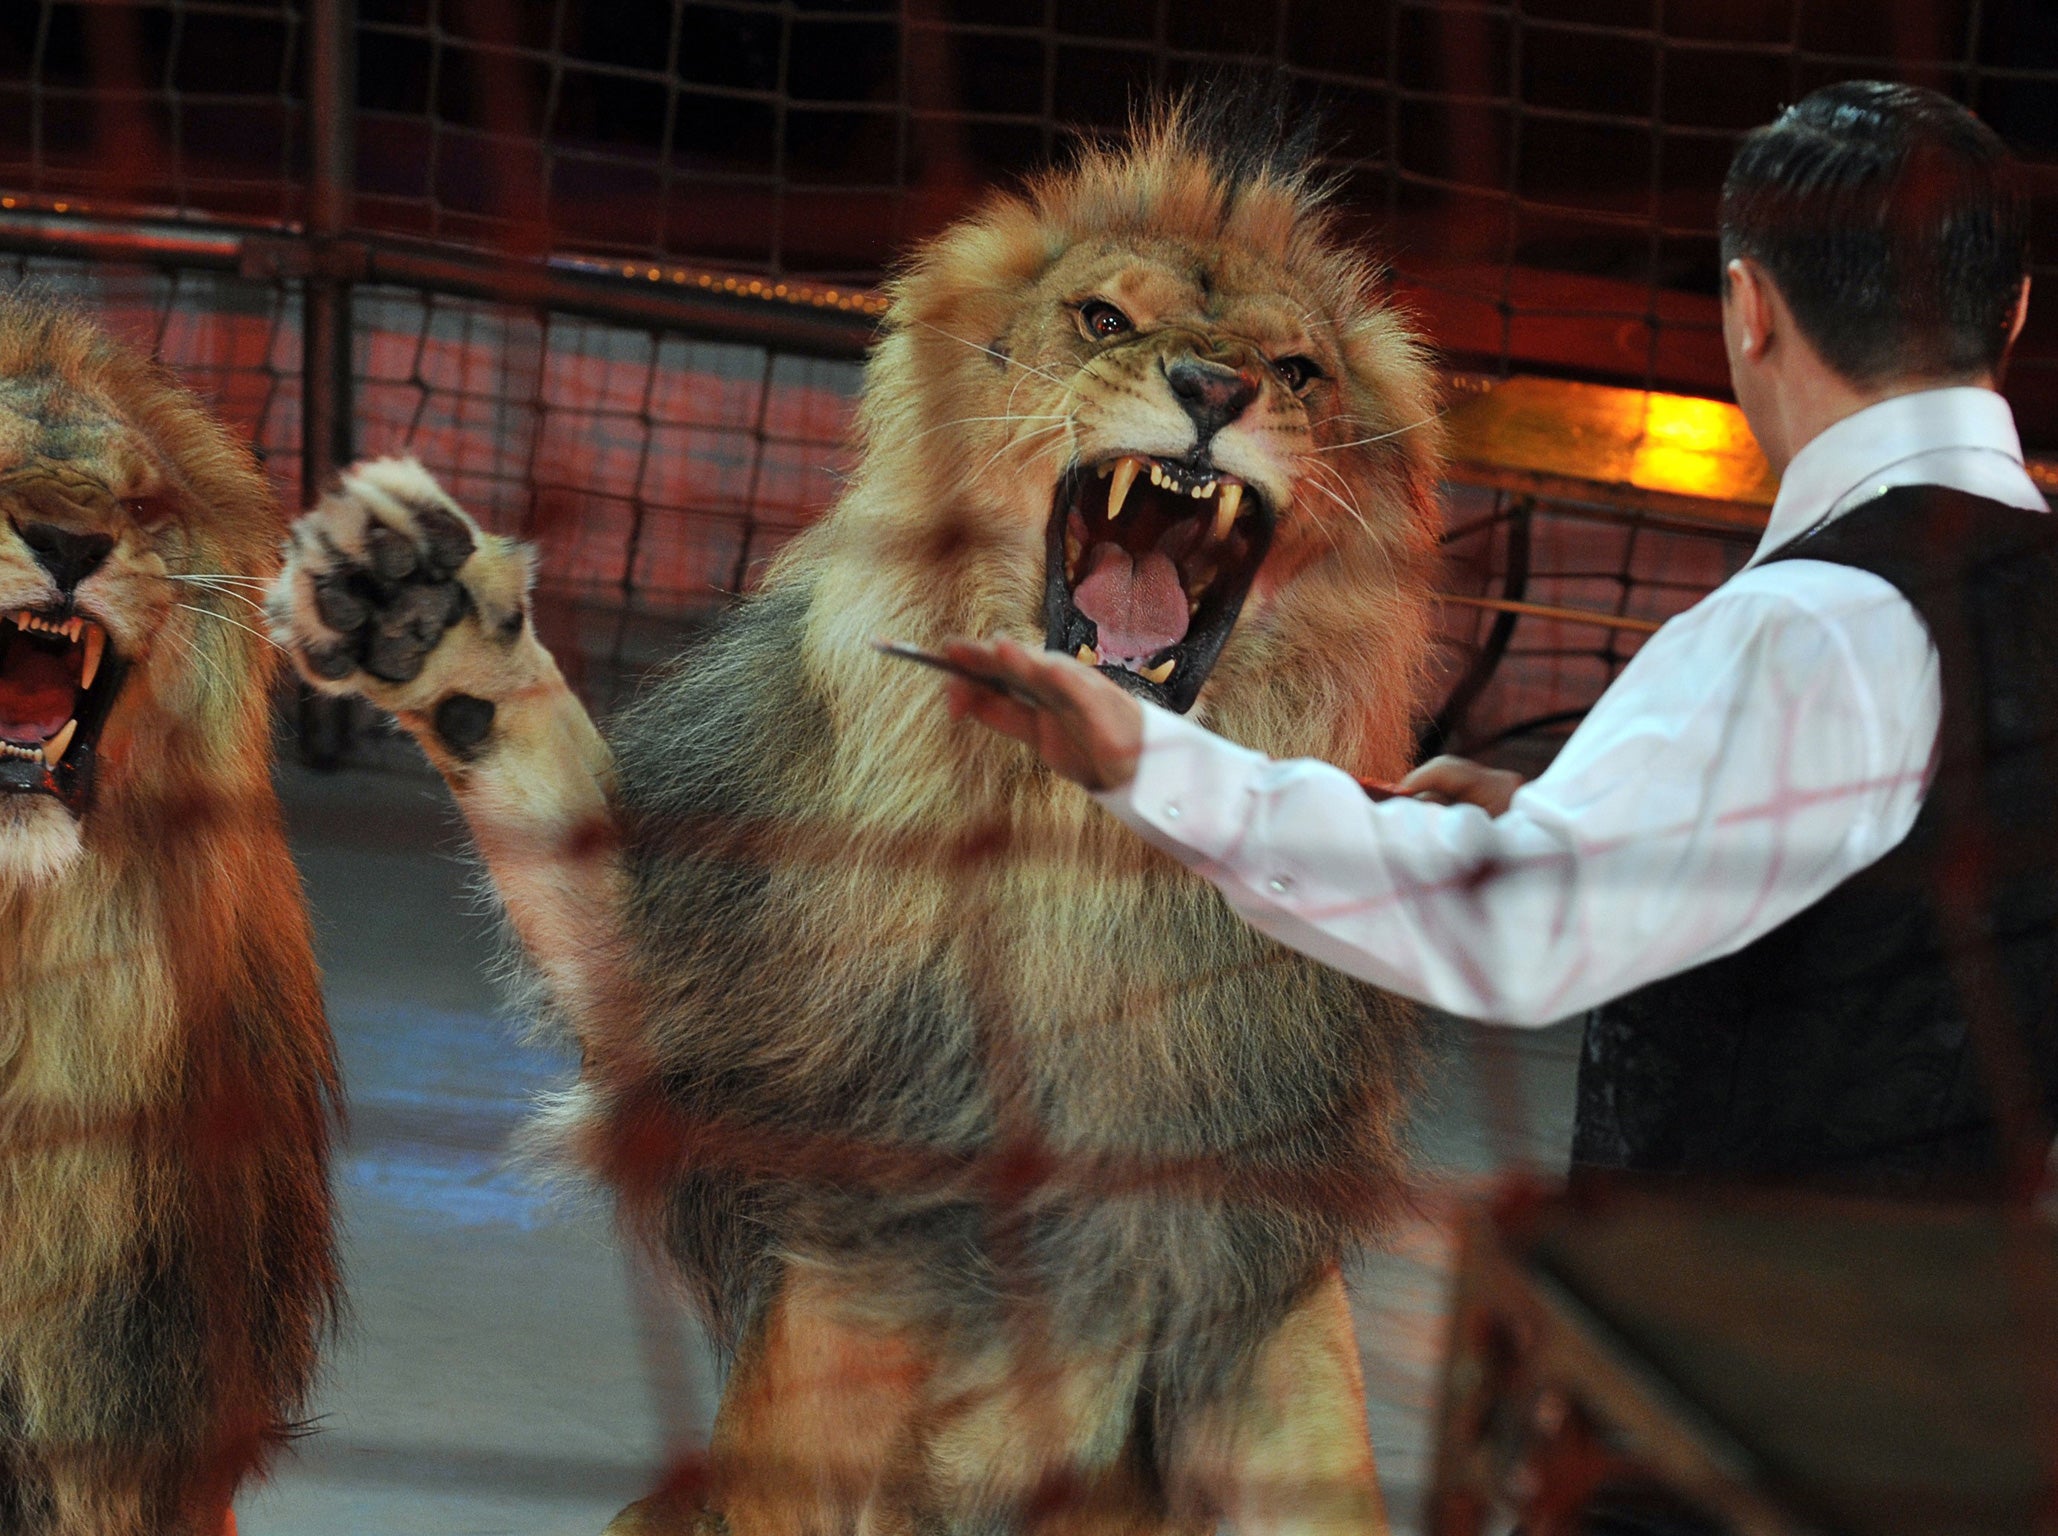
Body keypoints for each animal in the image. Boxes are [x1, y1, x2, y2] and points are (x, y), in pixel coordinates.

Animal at [271, 89, 1439, 1536]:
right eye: (1103, 320)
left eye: (1296, 371)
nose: (1217, 392)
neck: (1074, 849)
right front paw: (426, 613)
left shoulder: (1258, 1313)